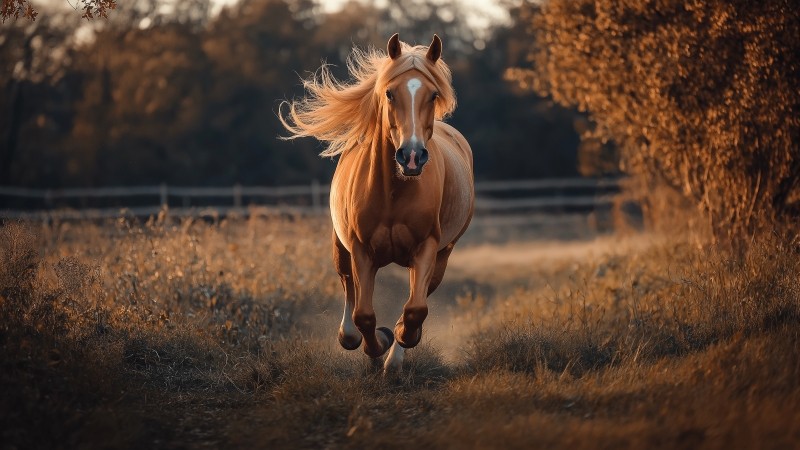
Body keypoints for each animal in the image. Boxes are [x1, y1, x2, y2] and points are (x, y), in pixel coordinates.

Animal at [280, 34, 474, 372]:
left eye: (433, 94)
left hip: (442, 255)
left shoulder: (426, 248)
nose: (412, 156)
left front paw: (395, 341)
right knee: (348, 291)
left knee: (418, 299)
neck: (393, 192)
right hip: (340, 247)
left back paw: (393, 359)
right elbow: (364, 315)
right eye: (389, 93)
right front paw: (376, 344)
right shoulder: (361, 249)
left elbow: (414, 311)